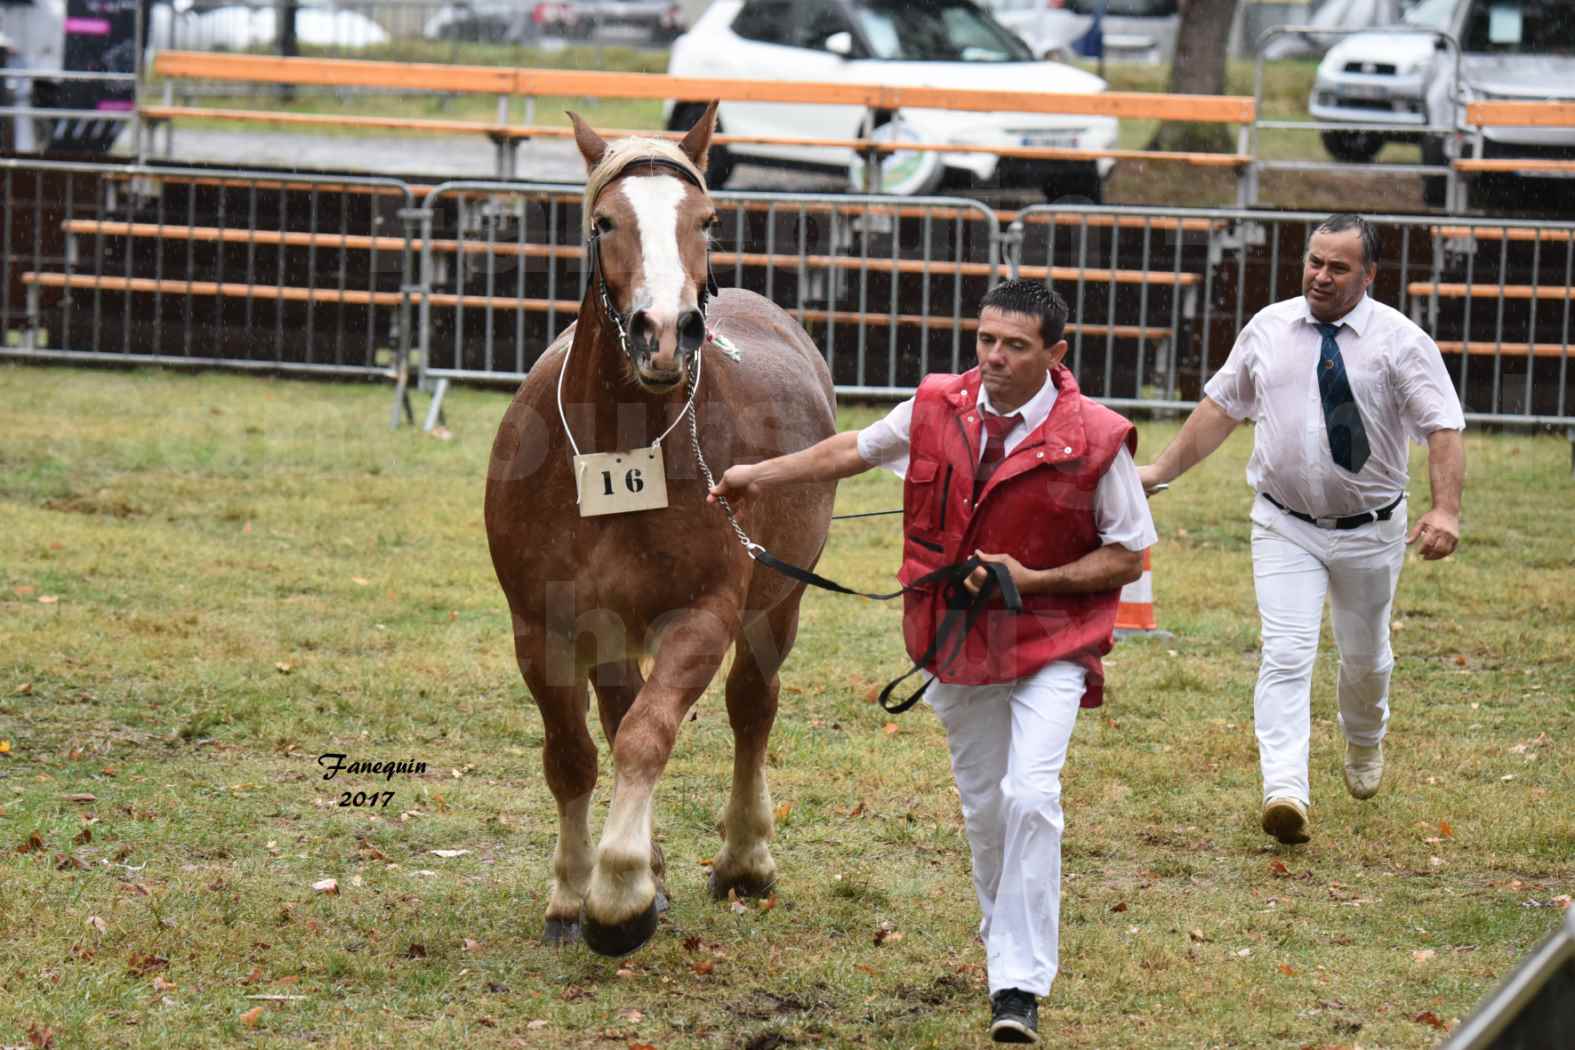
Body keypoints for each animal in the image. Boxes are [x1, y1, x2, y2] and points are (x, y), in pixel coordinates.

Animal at [485, 104, 844, 950]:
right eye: (605, 221)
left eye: (706, 221)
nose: (665, 330)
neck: (612, 444)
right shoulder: (542, 626)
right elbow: (573, 754)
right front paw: (572, 891)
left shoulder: (703, 616)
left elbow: (649, 734)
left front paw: (617, 895)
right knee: (617, 715)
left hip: (777, 607)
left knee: (750, 707)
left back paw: (743, 858)